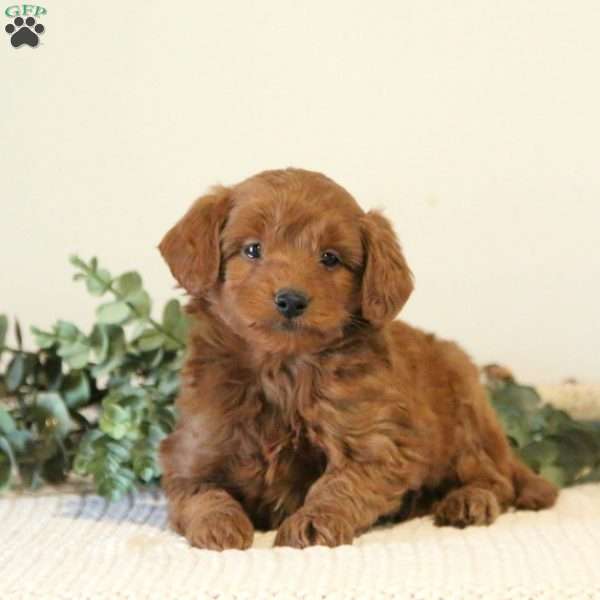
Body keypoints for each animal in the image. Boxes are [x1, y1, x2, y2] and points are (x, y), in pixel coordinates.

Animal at [158, 168, 556, 548]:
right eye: (253, 249)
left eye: (330, 258)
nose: (291, 300)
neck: (282, 369)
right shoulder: (193, 450)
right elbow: (202, 494)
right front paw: (218, 526)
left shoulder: (374, 444)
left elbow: (338, 486)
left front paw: (312, 524)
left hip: (466, 416)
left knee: (495, 479)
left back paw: (469, 500)